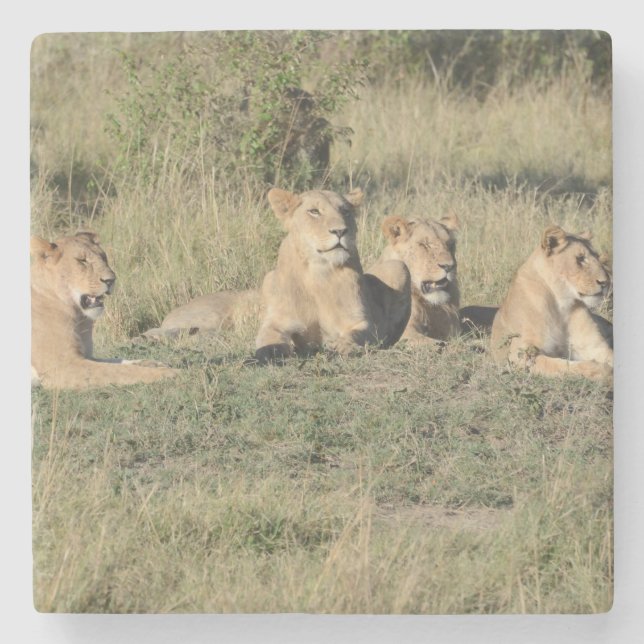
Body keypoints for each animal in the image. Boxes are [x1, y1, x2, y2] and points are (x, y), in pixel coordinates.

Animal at [31, 232, 178, 389]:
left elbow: (116, 362)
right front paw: (169, 373)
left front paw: (153, 363)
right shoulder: (62, 367)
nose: (111, 280)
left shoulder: (86, 356)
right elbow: (119, 371)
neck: (79, 318)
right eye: (82, 261)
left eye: (103, 257)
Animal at [254, 187, 411, 362]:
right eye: (314, 211)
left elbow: (357, 333)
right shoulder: (279, 321)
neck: (319, 270)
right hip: (268, 278)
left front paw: (344, 346)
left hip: (398, 266)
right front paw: (268, 352)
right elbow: (268, 336)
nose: (340, 231)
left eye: (345, 211)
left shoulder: (362, 322)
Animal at [490, 225, 613, 381]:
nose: (606, 282)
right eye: (580, 259)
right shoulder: (519, 354)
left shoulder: (594, 346)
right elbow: (561, 366)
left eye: (597, 257)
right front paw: (601, 370)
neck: (561, 305)